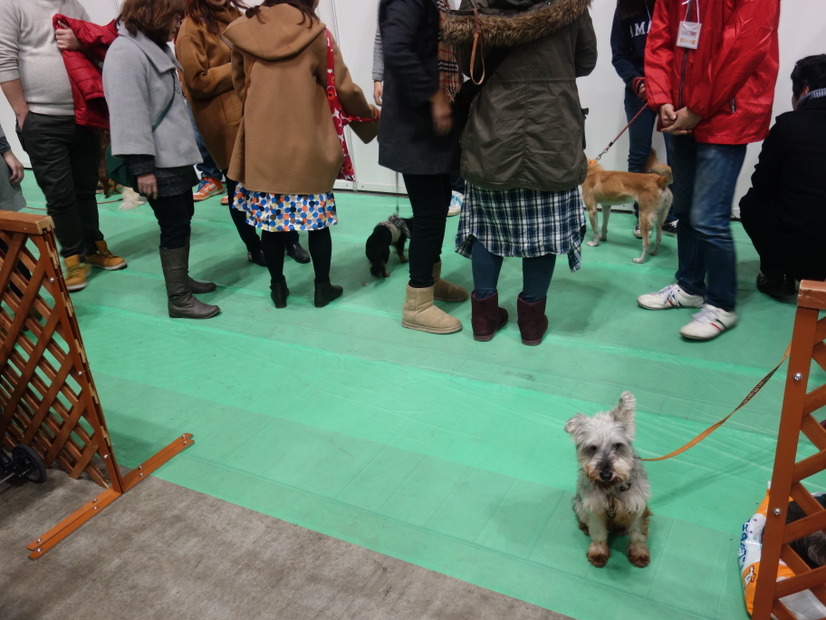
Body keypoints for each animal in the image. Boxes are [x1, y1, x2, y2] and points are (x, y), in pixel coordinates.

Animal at [568, 392, 652, 568]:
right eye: (592, 448)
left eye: (617, 445)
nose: (606, 474)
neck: (611, 488)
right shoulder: (594, 508)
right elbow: (598, 533)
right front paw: (598, 552)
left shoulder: (638, 507)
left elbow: (637, 534)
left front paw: (639, 553)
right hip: (579, 504)